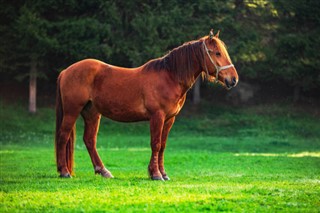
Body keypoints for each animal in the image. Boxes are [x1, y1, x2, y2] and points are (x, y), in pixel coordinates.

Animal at [55, 29, 238, 180]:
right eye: (217, 53)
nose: (233, 79)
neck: (170, 77)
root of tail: (66, 71)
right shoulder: (157, 116)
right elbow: (155, 144)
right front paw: (155, 174)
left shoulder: (169, 119)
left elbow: (162, 145)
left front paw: (163, 174)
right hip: (72, 111)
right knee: (63, 136)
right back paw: (64, 172)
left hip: (92, 113)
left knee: (89, 140)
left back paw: (103, 171)